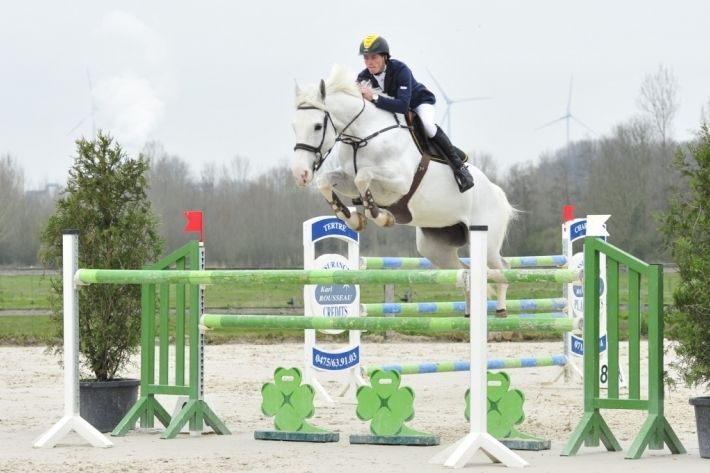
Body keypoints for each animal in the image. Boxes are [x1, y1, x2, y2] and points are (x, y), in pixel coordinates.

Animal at [292, 63, 516, 314]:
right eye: (294, 126)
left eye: (317, 126)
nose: (300, 174)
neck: (363, 135)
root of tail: (496, 191)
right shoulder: (347, 178)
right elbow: (327, 182)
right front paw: (352, 218)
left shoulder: (398, 182)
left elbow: (363, 177)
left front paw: (381, 216)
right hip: (435, 247)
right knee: (465, 272)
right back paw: (469, 311)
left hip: (487, 240)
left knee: (502, 268)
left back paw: (501, 309)